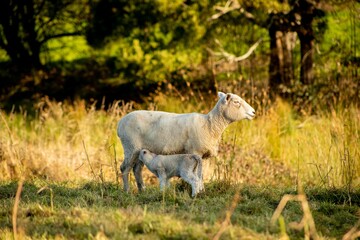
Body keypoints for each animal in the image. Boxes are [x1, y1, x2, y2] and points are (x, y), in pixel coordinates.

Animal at [116, 91, 255, 192]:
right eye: (236, 102)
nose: (253, 112)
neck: (210, 125)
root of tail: (120, 123)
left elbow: (200, 173)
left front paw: (200, 190)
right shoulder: (195, 151)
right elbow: (199, 174)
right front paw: (198, 190)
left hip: (139, 150)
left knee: (137, 170)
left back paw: (142, 190)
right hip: (130, 146)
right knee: (124, 168)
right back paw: (127, 191)